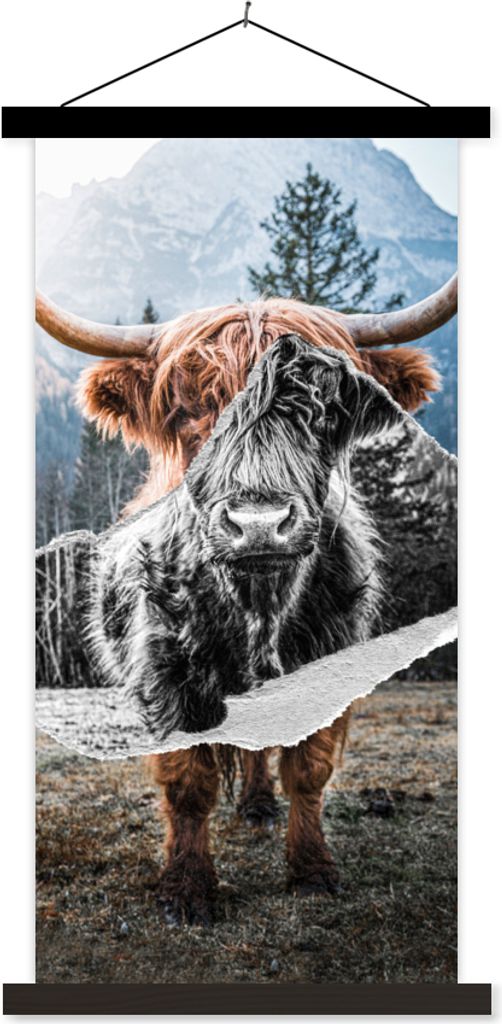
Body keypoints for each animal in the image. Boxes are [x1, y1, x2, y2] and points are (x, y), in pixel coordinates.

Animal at [36, 276, 457, 924]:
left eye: (325, 415)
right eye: (190, 412)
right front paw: (187, 889)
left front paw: (312, 871)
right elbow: (188, 781)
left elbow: (308, 768)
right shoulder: (165, 673)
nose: (258, 524)